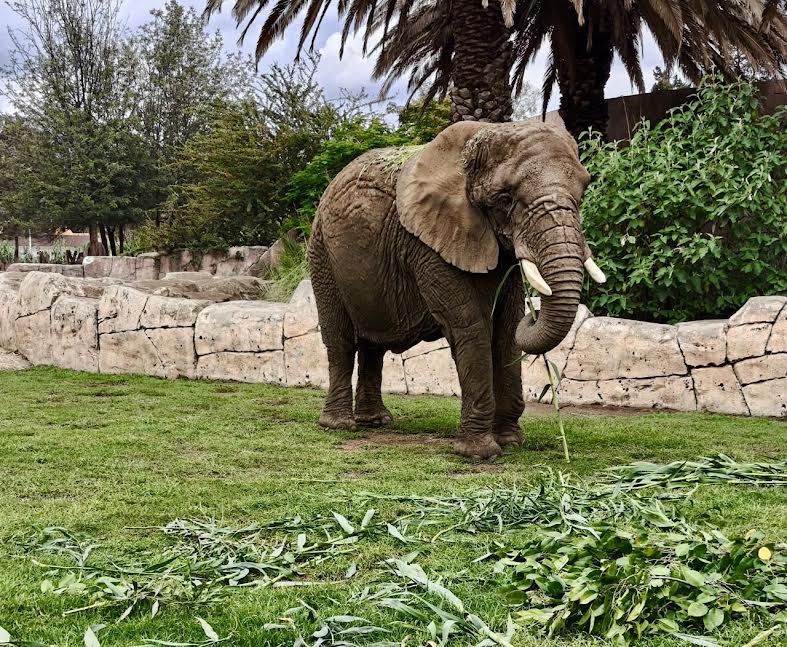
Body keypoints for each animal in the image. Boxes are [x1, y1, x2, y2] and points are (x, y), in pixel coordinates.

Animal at [308, 120, 606, 459]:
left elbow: (506, 331)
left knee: (374, 346)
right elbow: (471, 327)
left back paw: (376, 421)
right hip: (322, 256)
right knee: (341, 341)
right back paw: (339, 426)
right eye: (505, 198)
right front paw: (480, 453)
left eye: (582, 193)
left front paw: (511, 442)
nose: (534, 314)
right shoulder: (425, 243)